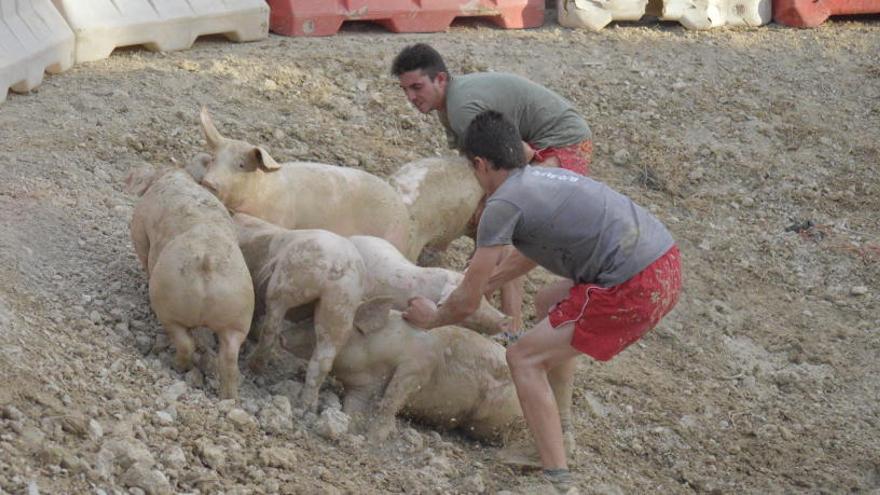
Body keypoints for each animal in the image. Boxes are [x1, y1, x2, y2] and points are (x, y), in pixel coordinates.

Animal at [125, 166, 254, 400]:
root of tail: (207, 260)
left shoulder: (139, 229)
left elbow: (143, 252)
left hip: (169, 301)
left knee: (185, 342)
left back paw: (176, 366)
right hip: (239, 314)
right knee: (229, 359)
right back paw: (229, 397)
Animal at [232, 213, 366, 414]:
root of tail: (338, 263)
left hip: (288, 282)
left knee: (271, 328)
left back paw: (253, 366)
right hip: (342, 304)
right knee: (325, 356)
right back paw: (307, 407)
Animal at [280, 300, 524, 444]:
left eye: (315, 324)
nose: (283, 336)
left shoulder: (418, 365)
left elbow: (391, 398)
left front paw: (372, 439)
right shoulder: (360, 388)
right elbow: (353, 407)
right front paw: (351, 429)